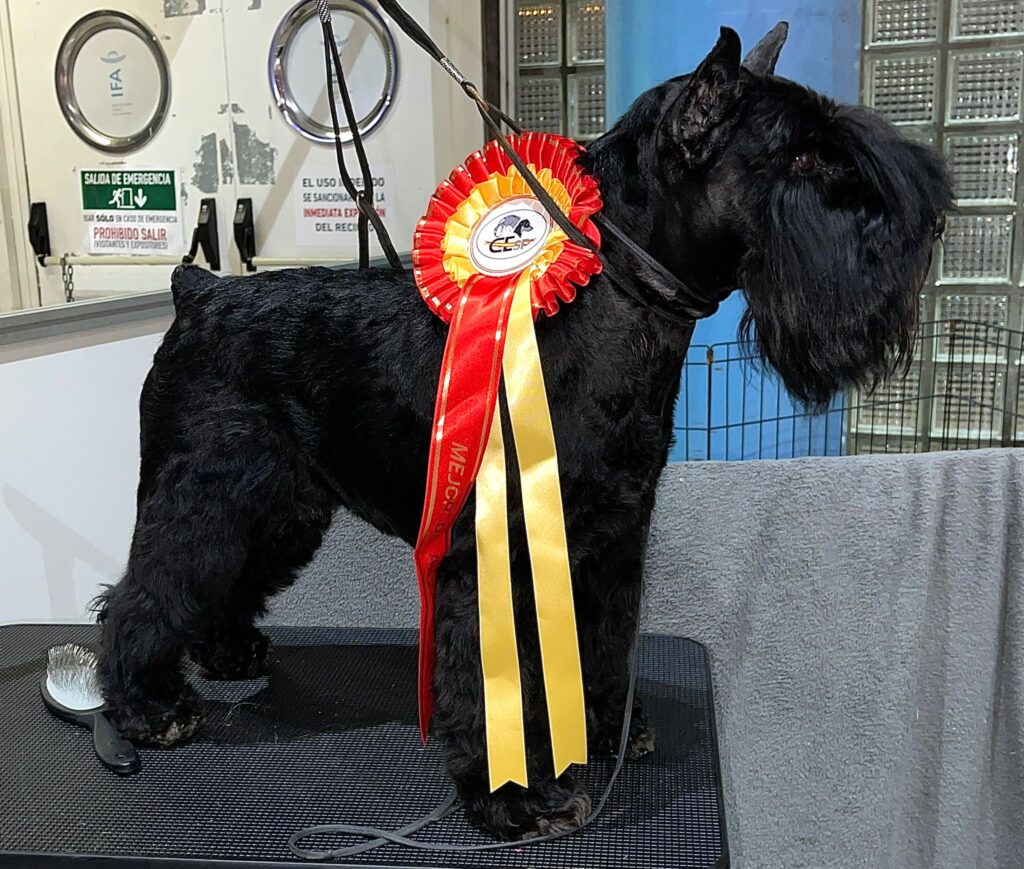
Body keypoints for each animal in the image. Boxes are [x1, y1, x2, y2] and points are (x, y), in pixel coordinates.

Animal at [96, 27, 950, 839]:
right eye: (801, 154)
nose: (928, 224)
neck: (609, 300)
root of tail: (197, 293)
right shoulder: (493, 554)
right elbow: (491, 679)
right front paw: (518, 796)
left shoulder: (609, 535)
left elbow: (604, 640)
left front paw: (603, 730)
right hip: (201, 496)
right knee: (140, 594)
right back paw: (147, 706)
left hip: (280, 510)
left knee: (216, 582)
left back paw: (225, 652)